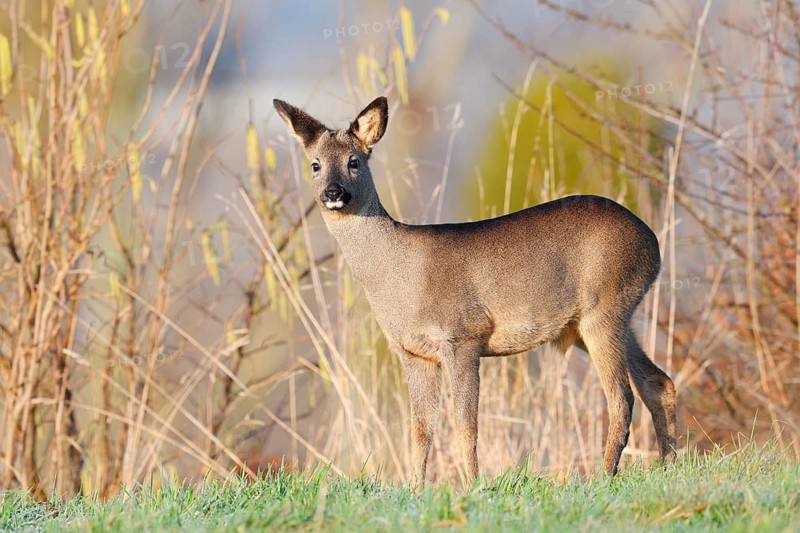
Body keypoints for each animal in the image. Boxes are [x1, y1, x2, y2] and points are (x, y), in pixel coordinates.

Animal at [273, 95, 677, 484]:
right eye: (315, 165)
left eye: (354, 162)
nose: (333, 192)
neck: (399, 277)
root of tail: (653, 243)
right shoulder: (413, 353)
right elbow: (420, 429)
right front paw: (415, 488)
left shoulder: (463, 335)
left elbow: (465, 423)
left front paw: (473, 484)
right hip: (599, 322)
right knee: (659, 382)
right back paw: (667, 464)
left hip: (604, 307)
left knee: (621, 397)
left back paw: (603, 476)